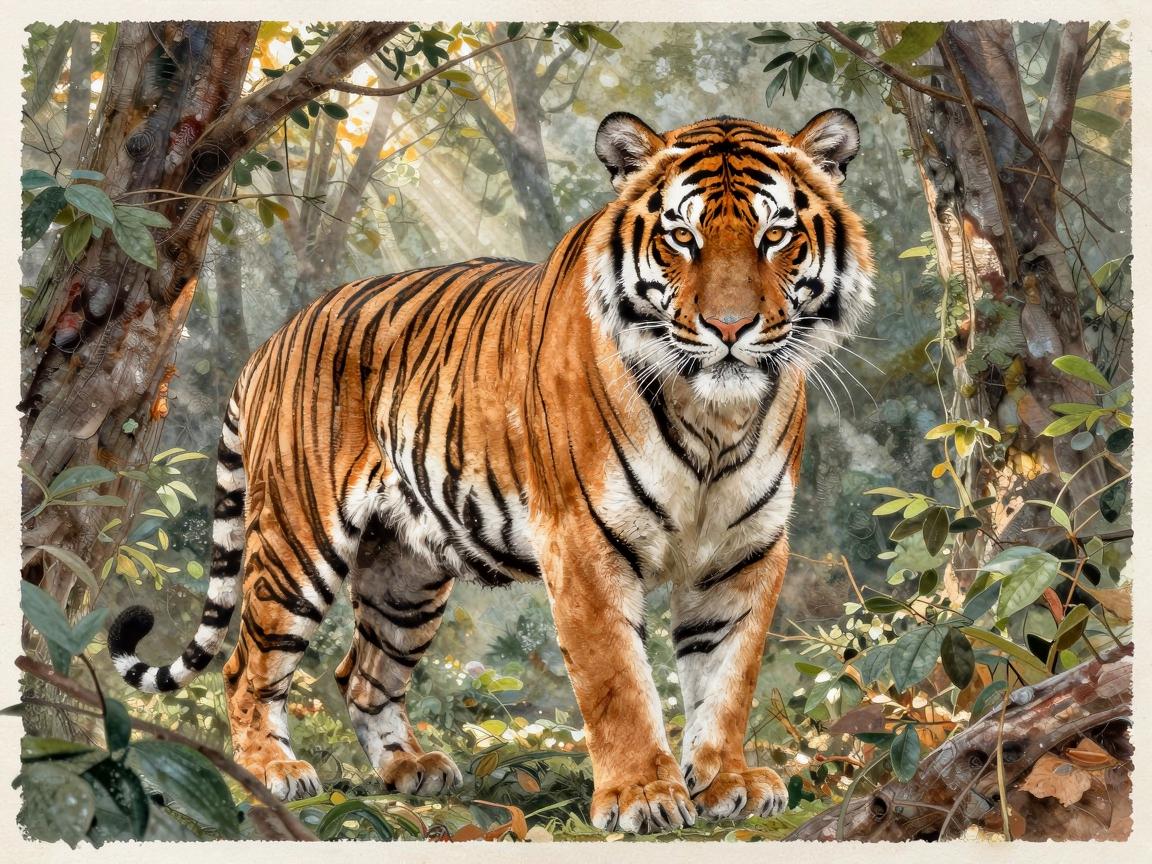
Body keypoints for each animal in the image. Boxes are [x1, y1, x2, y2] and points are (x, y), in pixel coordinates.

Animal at [109, 108, 873, 834]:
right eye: (682, 238)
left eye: (775, 235)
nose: (730, 328)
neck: (716, 417)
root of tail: (272, 342)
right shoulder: (583, 543)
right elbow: (618, 681)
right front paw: (643, 796)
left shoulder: (746, 552)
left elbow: (727, 678)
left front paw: (726, 782)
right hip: (296, 543)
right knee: (249, 666)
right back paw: (271, 771)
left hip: (405, 576)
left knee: (362, 673)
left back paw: (410, 769)